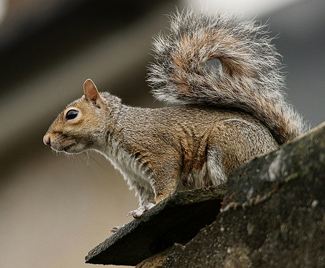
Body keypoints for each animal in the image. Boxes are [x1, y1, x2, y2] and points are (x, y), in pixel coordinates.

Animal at [42, 11, 304, 220]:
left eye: (71, 114)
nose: (46, 140)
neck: (116, 130)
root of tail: (275, 148)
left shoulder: (158, 151)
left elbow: (165, 184)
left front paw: (152, 207)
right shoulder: (138, 178)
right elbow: (147, 195)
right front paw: (133, 216)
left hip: (228, 141)